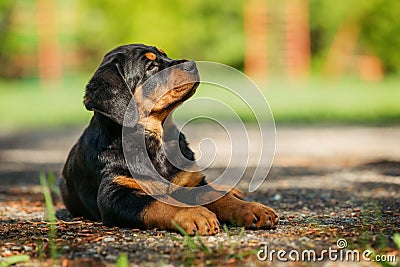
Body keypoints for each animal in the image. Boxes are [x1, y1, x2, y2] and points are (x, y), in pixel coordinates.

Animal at [59, 44, 278, 237]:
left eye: (164, 54)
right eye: (151, 66)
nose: (192, 64)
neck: (158, 140)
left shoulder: (190, 182)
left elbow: (217, 196)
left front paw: (252, 209)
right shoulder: (115, 194)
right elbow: (157, 203)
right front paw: (195, 214)